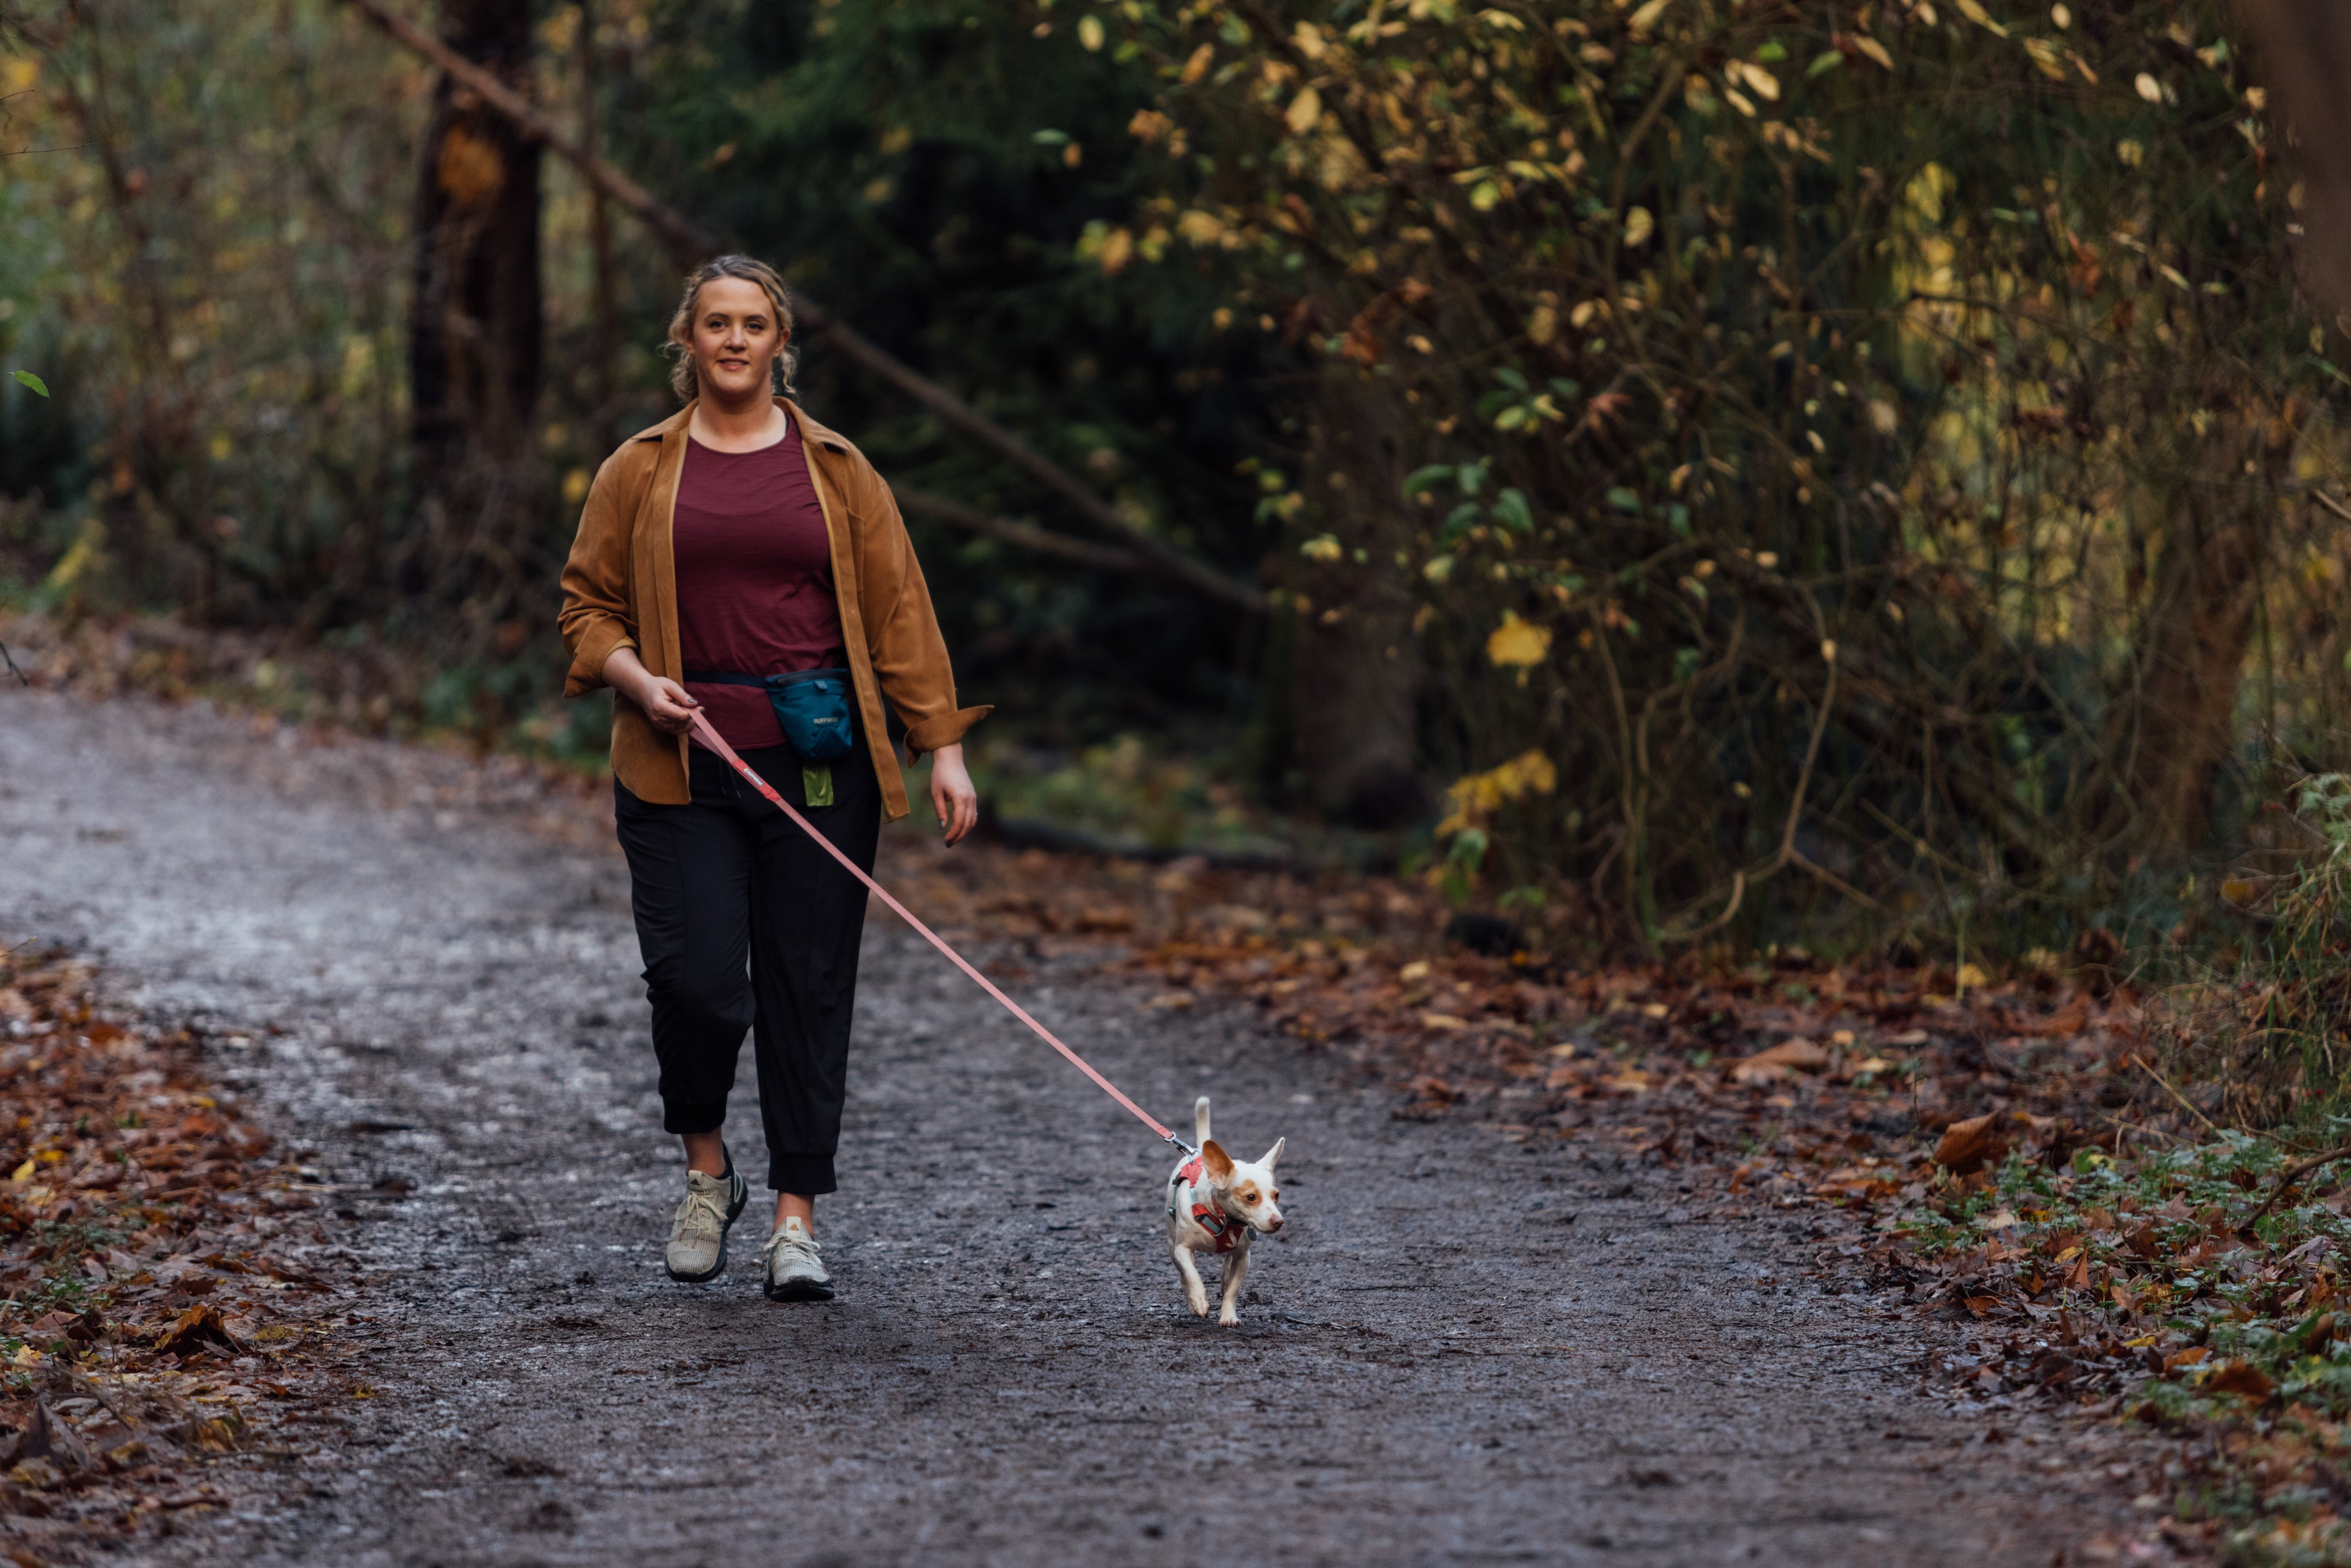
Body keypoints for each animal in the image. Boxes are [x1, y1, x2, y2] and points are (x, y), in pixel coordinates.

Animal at [1161, 1100, 1288, 1335]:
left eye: (1276, 1196)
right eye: (1251, 1197)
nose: (1278, 1221)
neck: (1223, 1220)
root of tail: (1197, 1153)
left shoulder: (1244, 1257)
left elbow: (1233, 1290)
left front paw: (1228, 1316)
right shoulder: (1182, 1248)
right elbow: (1191, 1274)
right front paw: (1199, 1301)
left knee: (1227, 1268)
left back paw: (1225, 1276)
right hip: (1172, 1243)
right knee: (1183, 1273)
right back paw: (1192, 1301)